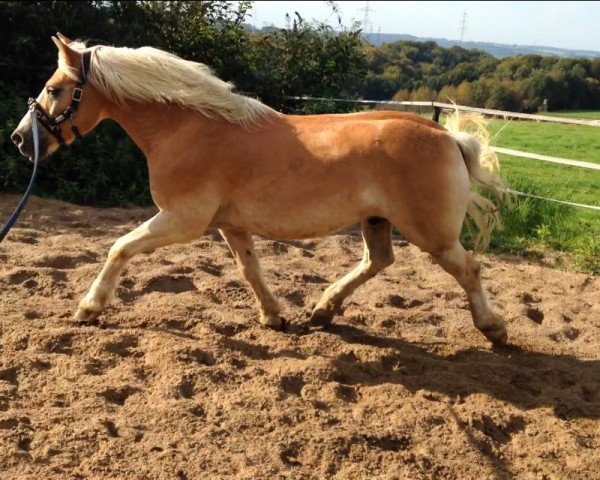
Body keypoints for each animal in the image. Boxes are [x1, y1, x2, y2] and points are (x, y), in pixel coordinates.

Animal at [10, 35, 506, 346]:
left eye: (54, 89)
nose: (19, 140)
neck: (188, 128)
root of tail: (447, 137)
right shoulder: (230, 225)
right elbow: (250, 270)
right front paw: (275, 317)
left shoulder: (182, 220)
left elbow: (119, 248)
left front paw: (88, 308)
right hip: (377, 222)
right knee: (378, 261)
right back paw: (322, 311)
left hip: (430, 234)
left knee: (469, 268)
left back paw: (494, 329)